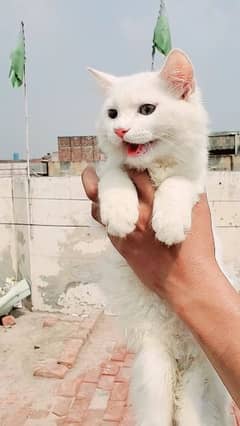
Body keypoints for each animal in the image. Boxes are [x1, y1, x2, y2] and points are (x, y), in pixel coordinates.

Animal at [89, 50, 233, 426]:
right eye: (112, 114)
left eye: (147, 109)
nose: (119, 130)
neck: (153, 170)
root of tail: (180, 357)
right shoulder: (108, 172)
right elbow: (115, 175)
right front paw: (120, 215)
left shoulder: (194, 181)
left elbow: (176, 185)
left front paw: (167, 224)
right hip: (154, 369)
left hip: (196, 383)